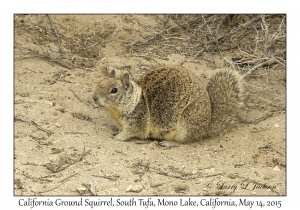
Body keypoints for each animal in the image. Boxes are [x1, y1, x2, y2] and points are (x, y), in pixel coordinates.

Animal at [92, 65, 243, 146]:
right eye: (100, 83)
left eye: (114, 90)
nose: (94, 98)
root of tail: (207, 125)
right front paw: (116, 132)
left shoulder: (137, 122)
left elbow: (129, 132)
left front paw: (118, 137)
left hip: (186, 127)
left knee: (184, 142)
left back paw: (168, 143)